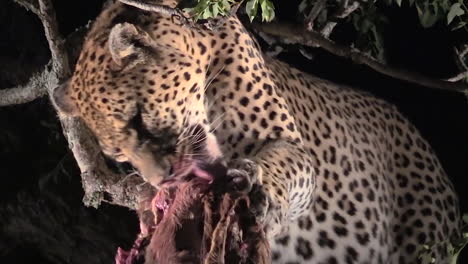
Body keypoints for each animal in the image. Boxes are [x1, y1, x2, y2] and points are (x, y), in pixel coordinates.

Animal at [52, 1, 460, 262]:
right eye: (118, 154)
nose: (163, 179)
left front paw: (258, 184)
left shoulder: (288, 144)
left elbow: (285, 166)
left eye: (137, 118)